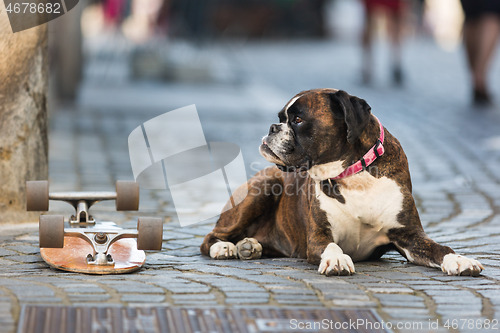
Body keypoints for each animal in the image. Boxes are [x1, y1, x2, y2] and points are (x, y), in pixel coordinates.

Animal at [200, 87, 484, 274]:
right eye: (281, 118)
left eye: (298, 120)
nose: (272, 127)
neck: (354, 175)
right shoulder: (318, 237)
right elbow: (331, 246)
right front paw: (337, 260)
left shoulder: (410, 236)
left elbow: (439, 248)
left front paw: (459, 260)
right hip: (261, 190)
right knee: (210, 238)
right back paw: (224, 247)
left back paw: (250, 245)